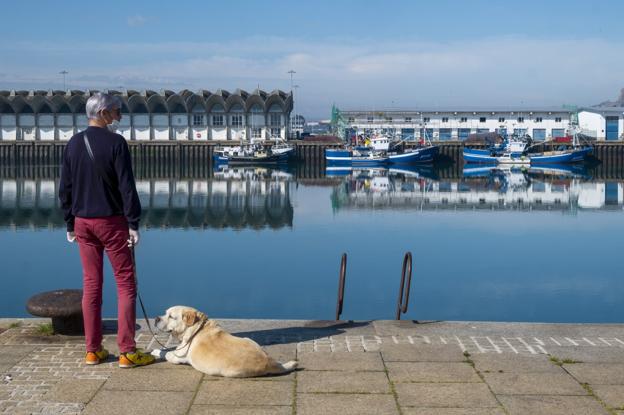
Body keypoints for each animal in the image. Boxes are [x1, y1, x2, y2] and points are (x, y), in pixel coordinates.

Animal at [151, 306, 298, 376]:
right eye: (165, 313)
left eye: (171, 316)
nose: (156, 318)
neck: (197, 328)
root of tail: (269, 362)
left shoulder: (176, 356)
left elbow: (165, 353)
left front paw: (155, 351)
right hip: (250, 340)